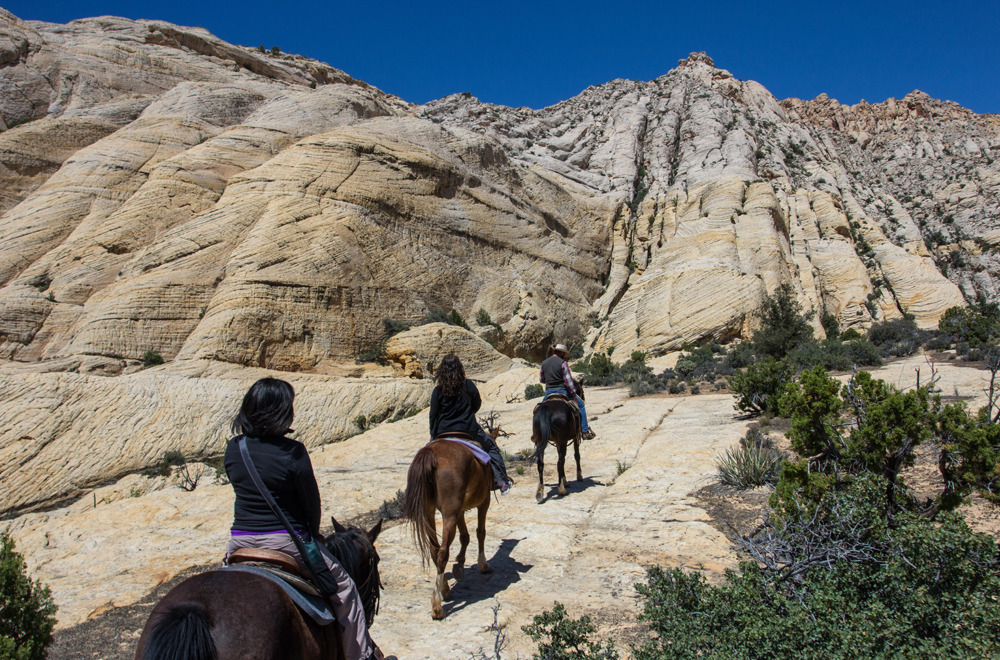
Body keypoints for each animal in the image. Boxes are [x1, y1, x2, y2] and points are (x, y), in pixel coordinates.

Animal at [404, 428, 500, 620]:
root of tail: (430, 454)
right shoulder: (484, 500)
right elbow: (480, 532)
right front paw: (483, 564)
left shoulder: (460, 510)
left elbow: (465, 536)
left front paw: (460, 563)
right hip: (449, 511)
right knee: (442, 552)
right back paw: (437, 607)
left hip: (429, 511)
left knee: (435, 549)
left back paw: (445, 589)